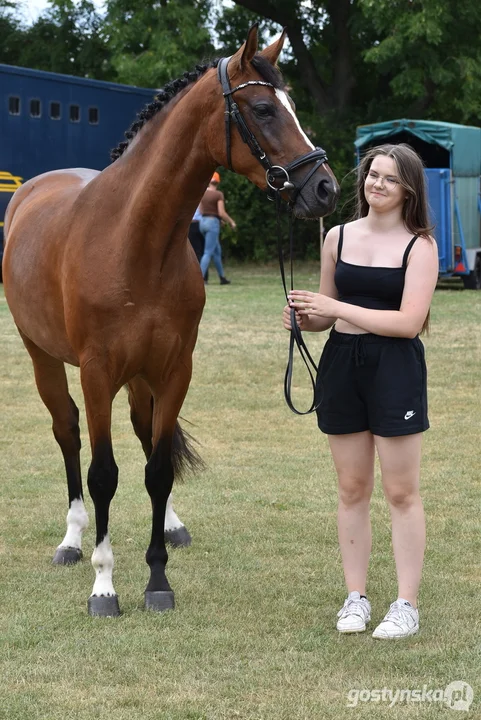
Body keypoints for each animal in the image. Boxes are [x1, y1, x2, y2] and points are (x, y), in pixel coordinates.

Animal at [1, 25, 338, 616]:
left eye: (292, 106)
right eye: (263, 108)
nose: (325, 188)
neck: (133, 239)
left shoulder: (174, 368)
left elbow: (157, 469)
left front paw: (157, 578)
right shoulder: (97, 374)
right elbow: (104, 474)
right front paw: (104, 585)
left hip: (141, 375)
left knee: (143, 432)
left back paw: (173, 526)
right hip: (43, 357)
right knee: (67, 433)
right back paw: (72, 538)